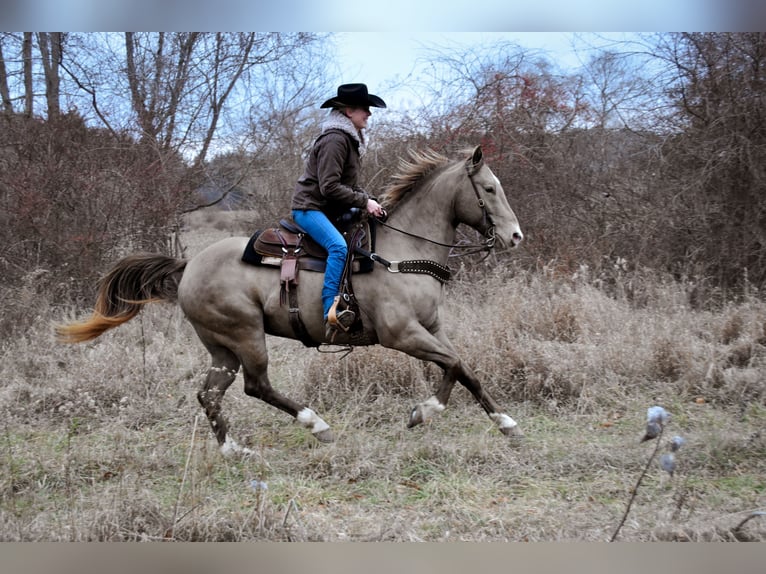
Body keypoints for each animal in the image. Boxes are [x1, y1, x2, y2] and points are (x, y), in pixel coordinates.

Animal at [56, 145, 524, 454]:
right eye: (488, 188)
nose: (516, 236)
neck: (403, 253)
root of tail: (188, 266)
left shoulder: (431, 329)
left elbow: (462, 368)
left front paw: (504, 423)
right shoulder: (402, 334)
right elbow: (456, 365)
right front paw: (426, 412)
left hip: (221, 348)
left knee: (210, 395)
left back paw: (235, 451)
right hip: (245, 335)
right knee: (256, 386)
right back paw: (316, 424)